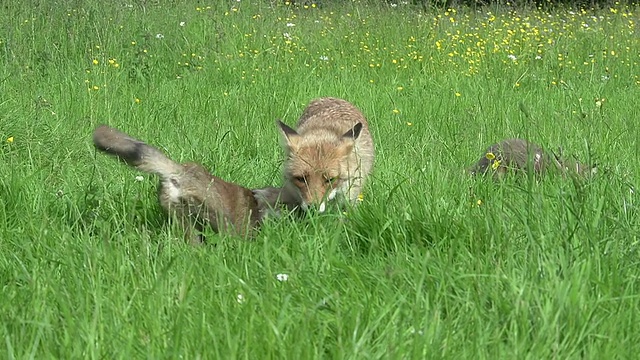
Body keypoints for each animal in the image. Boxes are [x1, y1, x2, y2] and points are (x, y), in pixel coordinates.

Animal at [92, 124, 300, 245]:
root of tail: (179, 171)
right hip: (214, 215)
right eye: (290, 204)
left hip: (182, 220)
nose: (304, 212)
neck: (258, 205)